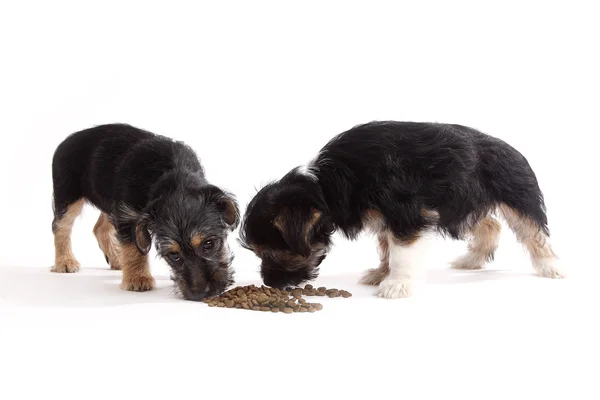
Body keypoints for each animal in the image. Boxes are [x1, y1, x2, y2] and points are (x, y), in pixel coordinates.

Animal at [51, 123, 239, 302]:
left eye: (209, 244)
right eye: (174, 255)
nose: (200, 293)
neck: (171, 174)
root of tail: (67, 140)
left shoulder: (122, 210)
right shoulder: (128, 215)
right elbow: (133, 248)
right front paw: (137, 279)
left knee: (99, 228)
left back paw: (117, 259)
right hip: (68, 197)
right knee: (60, 227)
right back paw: (65, 262)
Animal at [238, 120, 564, 298]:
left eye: (273, 252)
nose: (269, 283)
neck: (325, 186)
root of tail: (513, 148)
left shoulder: (406, 215)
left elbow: (401, 253)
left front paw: (396, 285)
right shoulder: (385, 217)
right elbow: (386, 247)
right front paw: (381, 273)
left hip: (517, 197)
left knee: (534, 233)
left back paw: (552, 268)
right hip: (462, 203)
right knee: (490, 225)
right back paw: (470, 261)